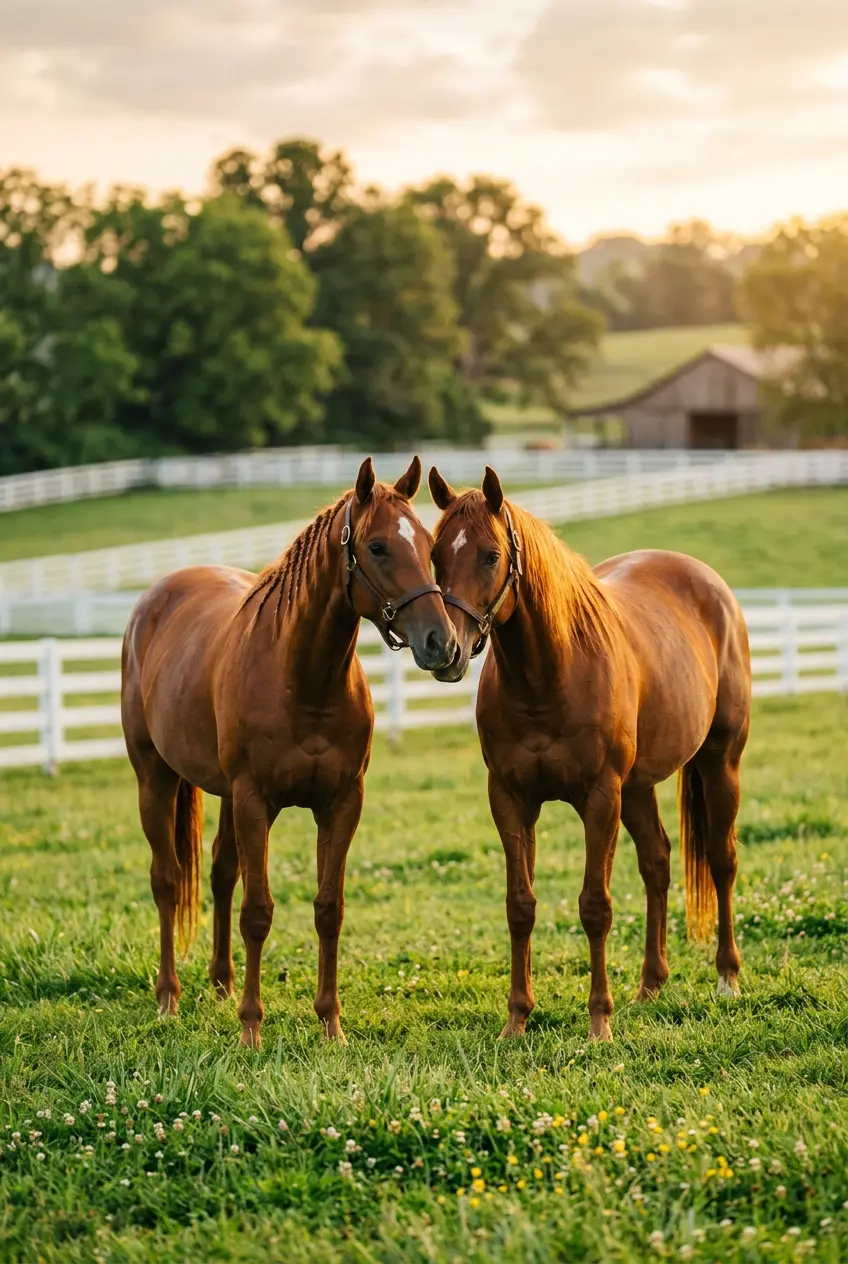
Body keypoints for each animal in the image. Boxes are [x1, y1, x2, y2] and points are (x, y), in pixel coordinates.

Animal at [121, 456, 456, 1047]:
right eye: (377, 547)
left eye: (427, 543)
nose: (441, 643)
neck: (302, 679)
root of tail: (155, 598)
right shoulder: (257, 801)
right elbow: (258, 911)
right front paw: (252, 1028)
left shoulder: (341, 803)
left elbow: (328, 908)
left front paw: (330, 1023)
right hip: (155, 778)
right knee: (167, 880)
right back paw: (169, 998)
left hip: (223, 795)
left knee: (220, 874)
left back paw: (222, 985)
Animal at [428, 464, 751, 1042]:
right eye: (437, 554)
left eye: (490, 555)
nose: (446, 650)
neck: (549, 675)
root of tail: (708, 583)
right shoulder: (510, 798)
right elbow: (520, 905)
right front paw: (517, 1019)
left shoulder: (600, 798)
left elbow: (595, 906)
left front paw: (600, 1020)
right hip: (639, 788)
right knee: (657, 862)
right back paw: (650, 986)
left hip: (720, 762)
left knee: (721, 859)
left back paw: (726, 978)